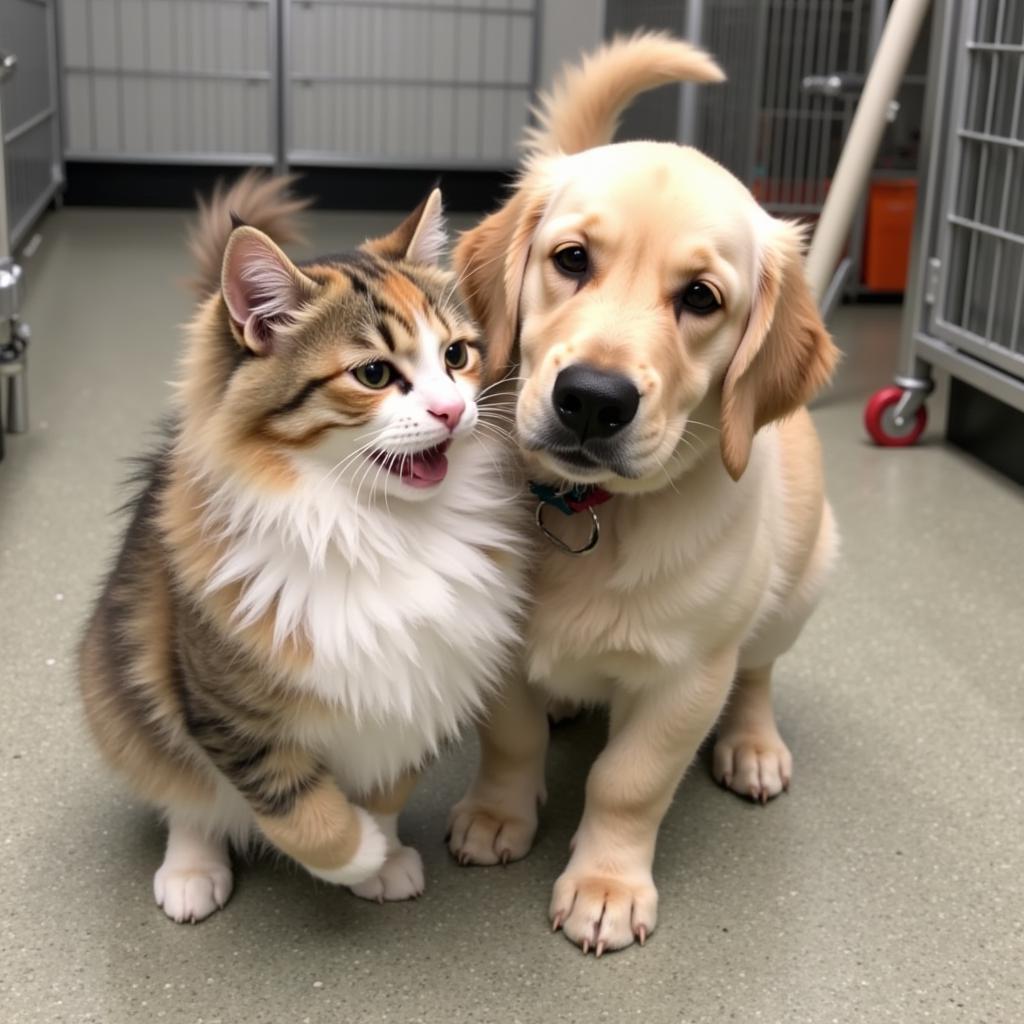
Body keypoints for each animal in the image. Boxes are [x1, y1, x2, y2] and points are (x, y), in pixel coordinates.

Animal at [77, 172, 528, 925]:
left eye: (456, 356)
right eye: (374, 374)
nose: (452, 411)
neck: (378, 526)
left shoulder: (419, 688)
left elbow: (387, 789)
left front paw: (386, 853)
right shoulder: (229, 712)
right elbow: (302, 812)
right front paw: (359, 855)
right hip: (124, 695)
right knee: (185, 796)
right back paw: (192, 871)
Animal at [446, 34, 839, 958]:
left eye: (701, 298)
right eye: (571, 260)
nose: (592, 399)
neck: (587, 510)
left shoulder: (686, 676)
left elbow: (629, 779)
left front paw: (606, 885)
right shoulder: (497, 644)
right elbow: (509, 735)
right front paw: (497, 814)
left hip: (804, 582)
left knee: (760, 671)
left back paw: (753, 746)